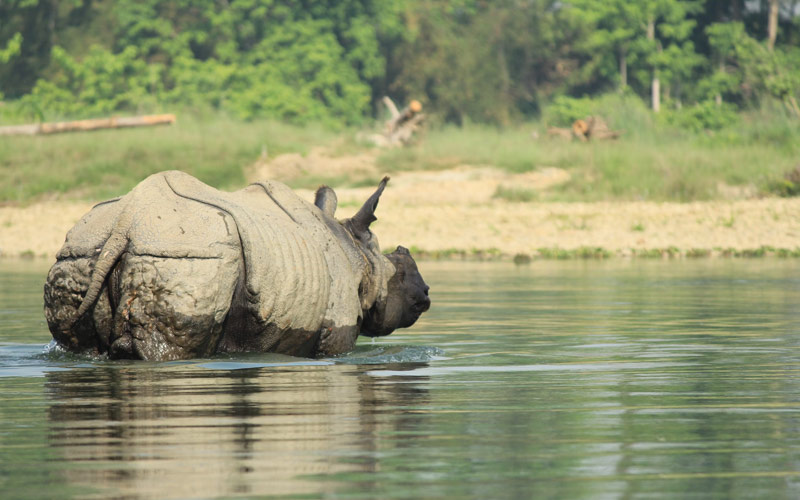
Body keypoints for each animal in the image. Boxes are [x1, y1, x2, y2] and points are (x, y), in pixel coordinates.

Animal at [43, 172, 432, 360]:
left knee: (79, 342)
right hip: (189, 256)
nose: (426, 295)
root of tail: (126, 220)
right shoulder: (337, 331)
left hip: (81, 253)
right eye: (400, 272)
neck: (359, 256)